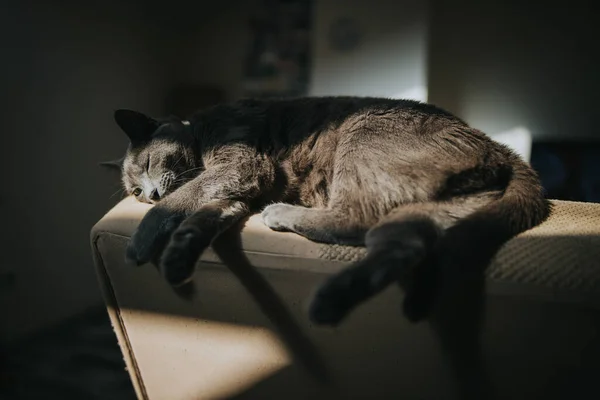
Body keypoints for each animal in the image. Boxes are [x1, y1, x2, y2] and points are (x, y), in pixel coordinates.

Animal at [105, 97, 552, 324]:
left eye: (148, 164)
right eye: (136, 191)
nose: (150, 194)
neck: (200, 135)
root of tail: (498, 149)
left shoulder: (240, 166)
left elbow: (185, 198)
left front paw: (141, 241)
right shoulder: (234, 195)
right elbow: (200, 219)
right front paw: (177, 260)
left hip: (362, 136)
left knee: (356, 219)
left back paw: (282, 217)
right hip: (433, 211)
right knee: (400, 244)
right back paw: (335, 300)